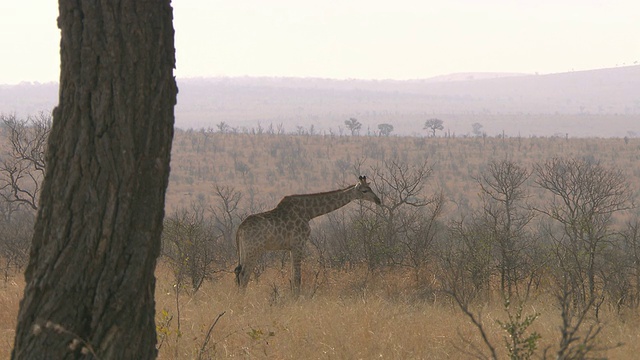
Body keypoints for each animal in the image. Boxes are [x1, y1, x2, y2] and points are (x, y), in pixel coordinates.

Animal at [234, 176, 380, 294]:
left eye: (370, 188)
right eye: (365, 191)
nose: (378, 200)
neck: (309, 212)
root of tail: (240, 229)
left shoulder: (291, 247)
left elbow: (293, 276)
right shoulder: (299, 244)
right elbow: (297, 277)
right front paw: (296, 300)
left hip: (245, 250)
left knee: (238, 273)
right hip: (254, 249)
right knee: (244, 275)